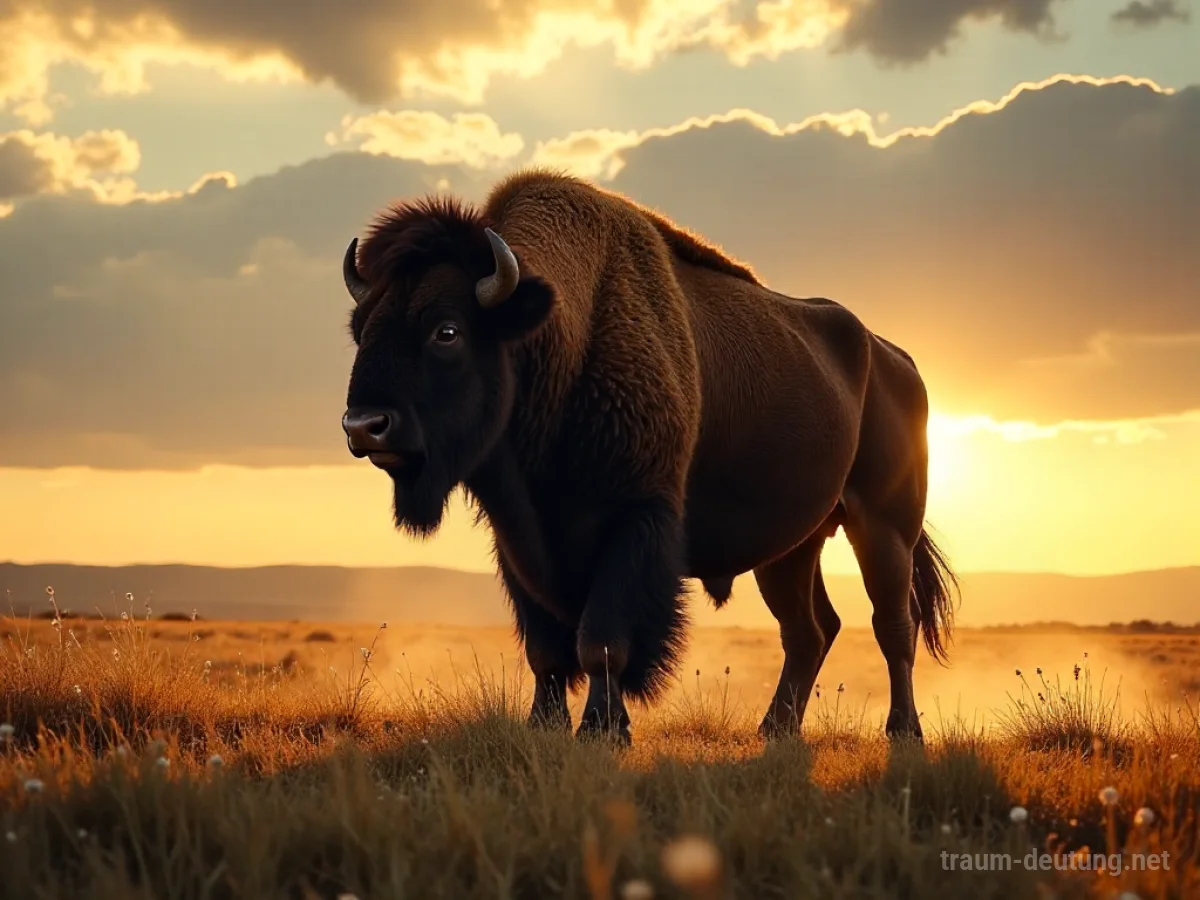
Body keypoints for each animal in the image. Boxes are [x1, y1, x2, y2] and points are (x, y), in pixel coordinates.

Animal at [340, 169, 958, 745]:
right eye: (361, 329)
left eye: (447, 331)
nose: (364, 426)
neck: (562, 337)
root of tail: (897, 360)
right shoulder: (518, 538)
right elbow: (546, 649)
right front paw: (545, 726)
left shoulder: (633, 523)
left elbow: (601, 643)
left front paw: (603, 730)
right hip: (791, 549)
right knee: (810, 629)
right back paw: (774, 730)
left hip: (883, 528)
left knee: (892, 624)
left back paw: (903, 730)